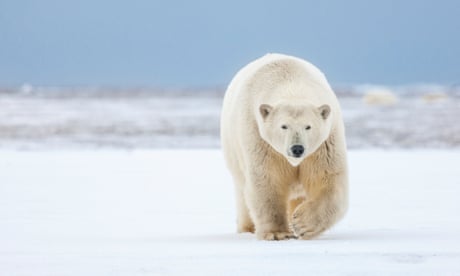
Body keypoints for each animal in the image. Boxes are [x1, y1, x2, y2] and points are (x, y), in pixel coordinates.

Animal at [221, 53, 346, 239]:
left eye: (308, 126)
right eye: (284, 126)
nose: (297, 148)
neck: (291, 82)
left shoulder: (325, 143)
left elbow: (327, 179)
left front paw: (301, 224)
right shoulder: (260, 138)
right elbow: (267, 179)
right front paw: (278, 233)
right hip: (234, 153)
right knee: (243, 193)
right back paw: (247, 228)